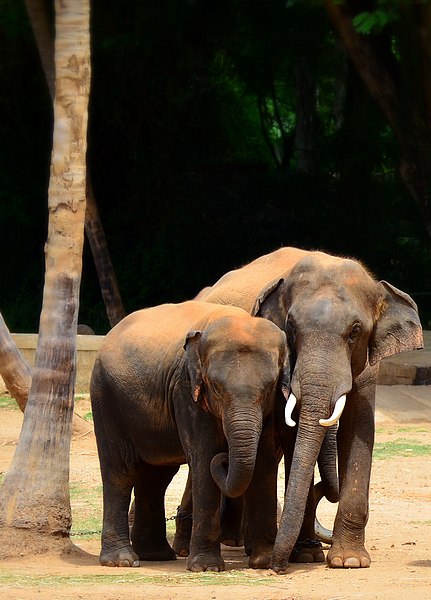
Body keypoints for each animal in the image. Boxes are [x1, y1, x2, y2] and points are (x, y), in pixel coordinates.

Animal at [90, 300, 290, 572]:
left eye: (269, 387)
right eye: (216, 387)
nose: (225, 458)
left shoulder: (273, 404)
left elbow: (264, 460)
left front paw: (264, 562)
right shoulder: (186, 390)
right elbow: (204, 458)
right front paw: (206, 568)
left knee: (155, 476)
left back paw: (156, 555)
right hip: (105, 398)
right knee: (120, 472)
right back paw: (122, 561)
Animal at [186, 247, 422, 572]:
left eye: (355, 331)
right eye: (291, 328)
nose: (278, 567)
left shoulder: (369, 365)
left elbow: (359, 429)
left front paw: (349, 561)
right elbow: (292, 433)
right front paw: (307, 555)